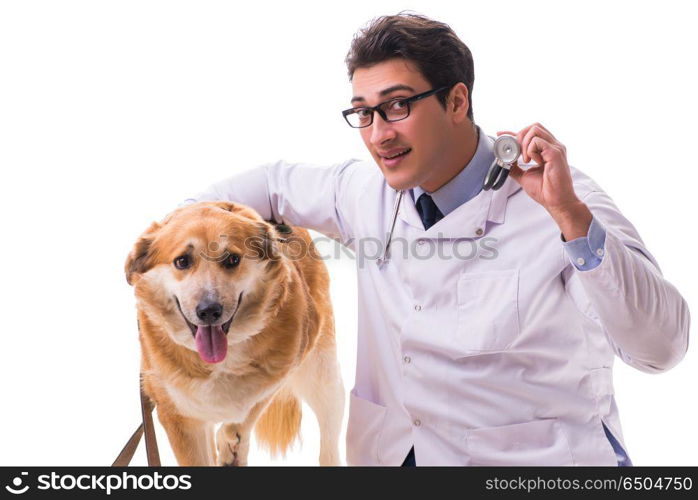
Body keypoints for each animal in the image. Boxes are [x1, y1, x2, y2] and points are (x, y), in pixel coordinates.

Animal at [124, 201, 346, 466]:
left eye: (232, 259)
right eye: (182, 261)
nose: (209, 311)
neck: (222, 360)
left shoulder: (286, 364)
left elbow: (252, 405)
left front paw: (232, 439)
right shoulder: (178, 417)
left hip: (323, 380)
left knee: (329, 440)